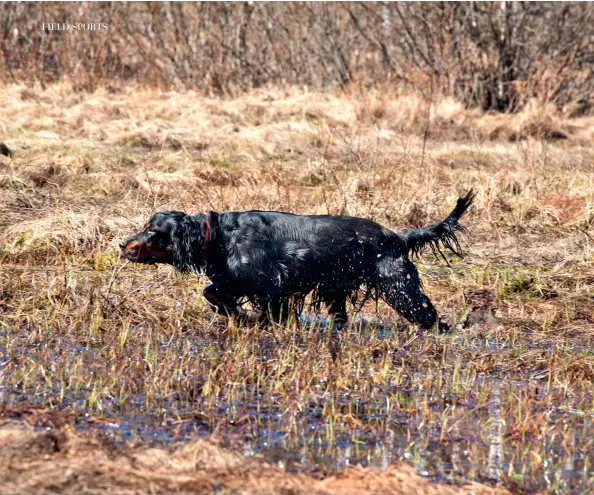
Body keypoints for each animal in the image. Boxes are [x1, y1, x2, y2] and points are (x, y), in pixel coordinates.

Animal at [119, 193, 472, 330]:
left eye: (151, 230)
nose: (122, 244)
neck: (218, 236)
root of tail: (397, 236)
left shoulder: (271, 286)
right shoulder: (236, 280)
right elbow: (213, 291)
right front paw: (232, 312)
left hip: (399, 288)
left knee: (429, 315)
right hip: (336, 288)